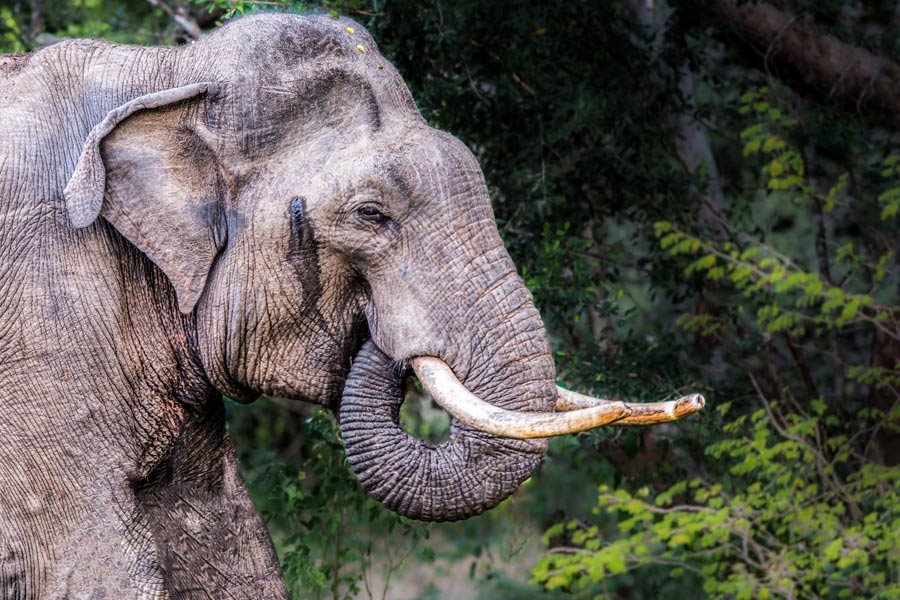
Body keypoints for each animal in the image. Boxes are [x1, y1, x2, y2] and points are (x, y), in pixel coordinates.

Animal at [0, 10, 704, 600]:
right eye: (371, 215)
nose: (693, 399)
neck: (171, 75)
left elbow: (232, 545)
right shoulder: (44, 321)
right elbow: (93, 561)